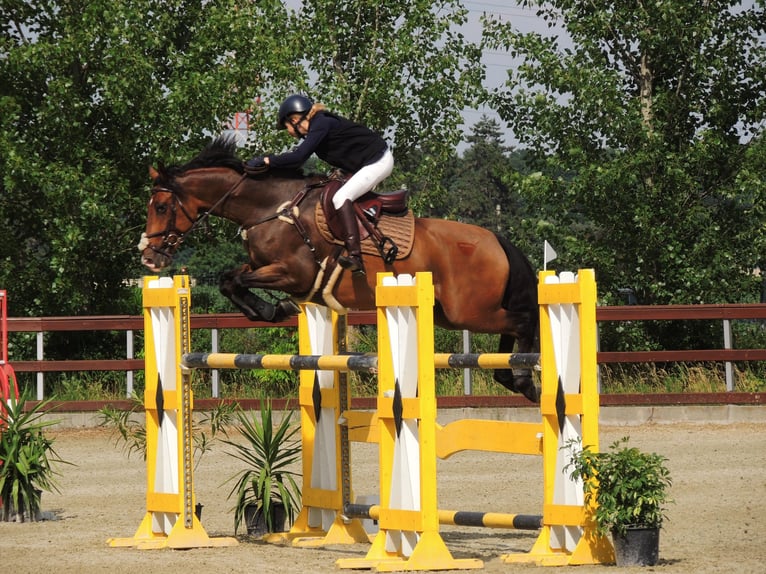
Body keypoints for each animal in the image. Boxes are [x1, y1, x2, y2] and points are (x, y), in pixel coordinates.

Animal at [139, 137, 540, 402]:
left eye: (161, 206)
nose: (149, 258)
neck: (271, 208)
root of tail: (497, 240)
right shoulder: (263, 265)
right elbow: (229, 280)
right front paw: (271, 310)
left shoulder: (294, 272)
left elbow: (235, 280)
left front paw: (271, 308)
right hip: (451, 313)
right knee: (512, 325)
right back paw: (511, 376)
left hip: (467, 310)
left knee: (522, 320)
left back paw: (522, 379)